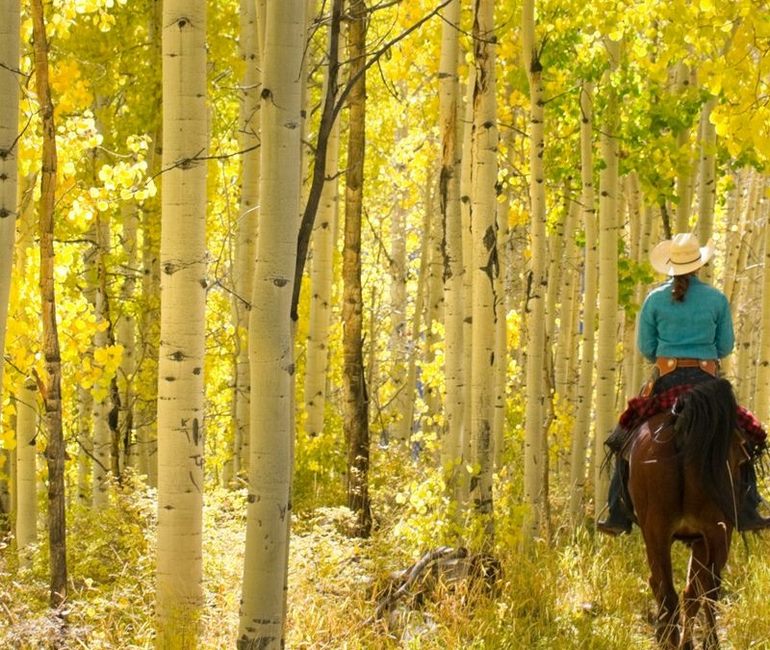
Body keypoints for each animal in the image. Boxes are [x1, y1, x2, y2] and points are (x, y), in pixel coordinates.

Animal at [624, 378, 744, 644]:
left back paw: (673, 639)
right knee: (706, 590)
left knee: (669, 591)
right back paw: (708, 642)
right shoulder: (702, 538)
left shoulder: (695, 538)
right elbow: (694, 591)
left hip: (660, 532)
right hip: (716, 533)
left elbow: (687, 591)